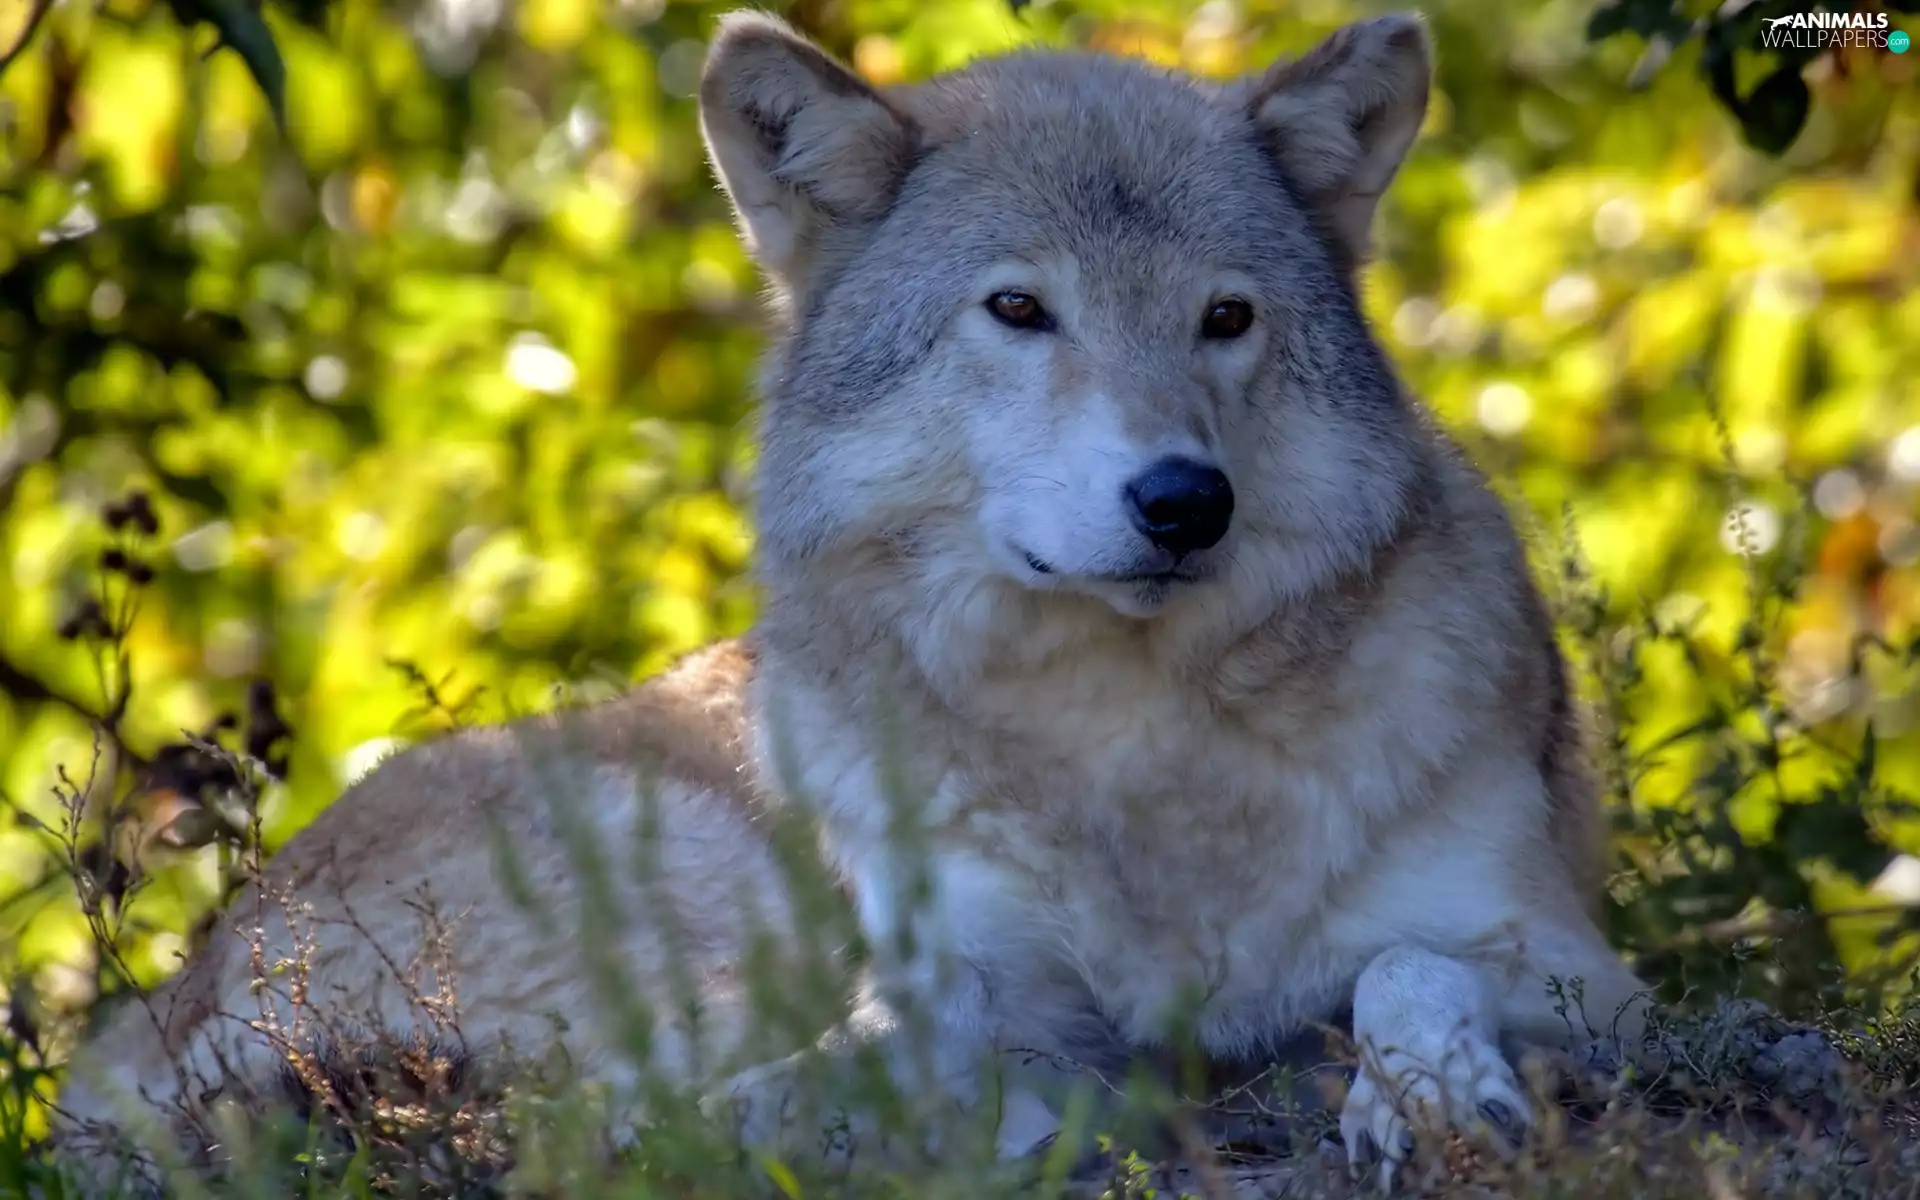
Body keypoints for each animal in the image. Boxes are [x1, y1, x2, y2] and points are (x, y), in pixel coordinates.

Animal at [52, 9, 1653, 1191]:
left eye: (1226, 319)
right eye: (1019, 310)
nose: (1186, 502)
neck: (1133, 752)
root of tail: (150, 1017)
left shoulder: (1570, 962)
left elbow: (1406, 968)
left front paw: (1430, 1096)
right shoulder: (962, 978)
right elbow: (886, 1056)